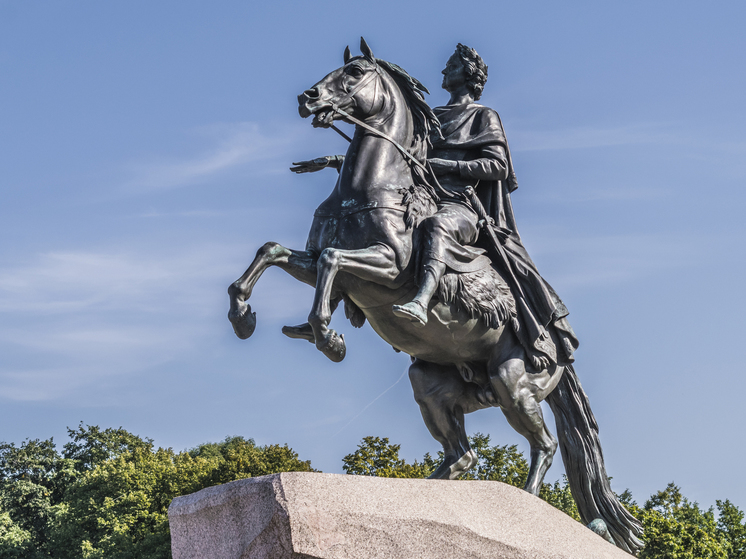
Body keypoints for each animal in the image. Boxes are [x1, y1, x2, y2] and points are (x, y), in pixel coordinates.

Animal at [225, 38, 640, 556]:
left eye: (355, 72)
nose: (308, 98)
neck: (370, 188)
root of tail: (562, 351)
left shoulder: (385, 267)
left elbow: (332, 263)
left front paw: (329, 338)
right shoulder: (317, 261)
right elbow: (274, 251)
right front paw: (244, 316)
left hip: (513, 382)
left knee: (542, 446)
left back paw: (525, 505)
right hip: (430, 383)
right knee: (463, 455)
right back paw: (425, 492)